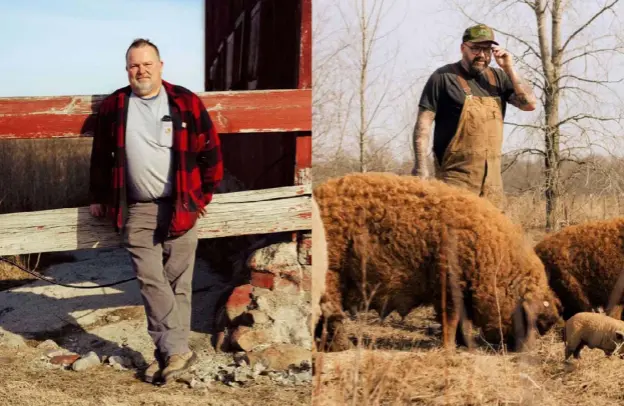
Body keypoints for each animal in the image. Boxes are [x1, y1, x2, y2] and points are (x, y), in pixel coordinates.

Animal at [314, 171, 564, 352]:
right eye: (533, 321)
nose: (526, 352)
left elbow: (463, 321)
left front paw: (466, 346)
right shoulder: (448, 280)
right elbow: (451, 318)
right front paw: (450, 348)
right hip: (331, 271)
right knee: (330, 311)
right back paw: (342, 347)